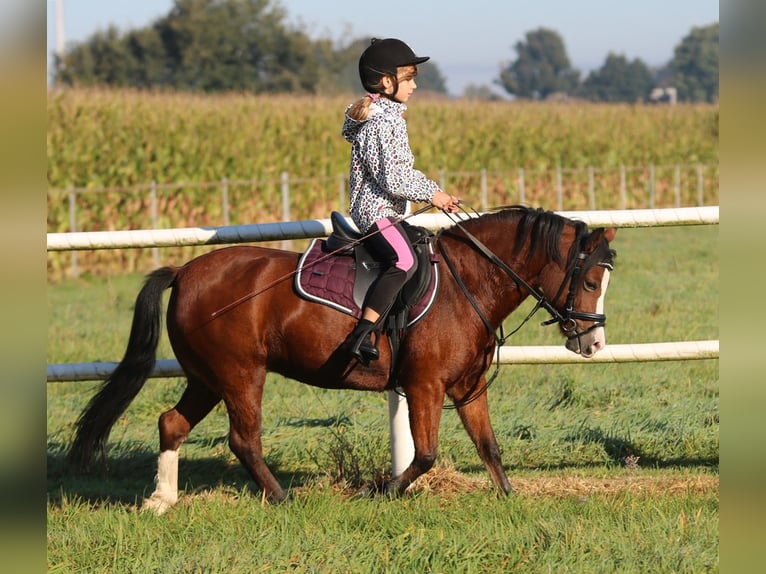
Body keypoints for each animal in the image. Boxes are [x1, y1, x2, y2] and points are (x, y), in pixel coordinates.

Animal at [67, 208, 616, 516]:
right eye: (591, 280)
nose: (593, 344)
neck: (469, 284)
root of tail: (184, 270)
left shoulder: (468, 389)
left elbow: (490, 449)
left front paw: (510, 502)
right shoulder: (425, 386)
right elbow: (425, 455)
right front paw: (377, 492)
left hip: (207, 377)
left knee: (172, 423)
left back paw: (162, 500)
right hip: (241, 375)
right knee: (243, 439)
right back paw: (282, 499)